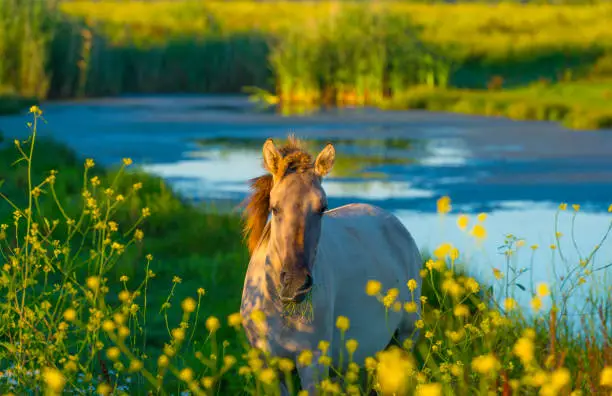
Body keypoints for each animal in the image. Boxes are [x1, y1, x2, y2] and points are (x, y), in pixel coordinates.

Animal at [239, 135, 420, 392]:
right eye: (274, 207)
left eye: (322, 207)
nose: (295, 285)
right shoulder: (270, 365)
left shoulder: (312, 363)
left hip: (405, 337)